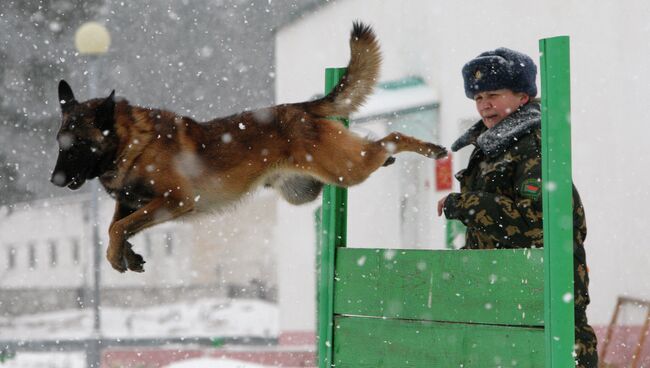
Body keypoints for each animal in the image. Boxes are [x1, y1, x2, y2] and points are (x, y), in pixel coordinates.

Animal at [50, 22, 446, 270]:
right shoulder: (135, 203)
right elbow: (118, 225)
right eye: (60, 142)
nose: (55, 181)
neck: (133, 142)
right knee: (376, 147)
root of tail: (301, 106)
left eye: (79, 144)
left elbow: (119, 227)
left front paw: (120, 255)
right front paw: (125, 256)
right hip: (307, 189)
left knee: (391, 139)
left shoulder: (174, 200)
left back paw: (430, 148)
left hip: (346, 170)